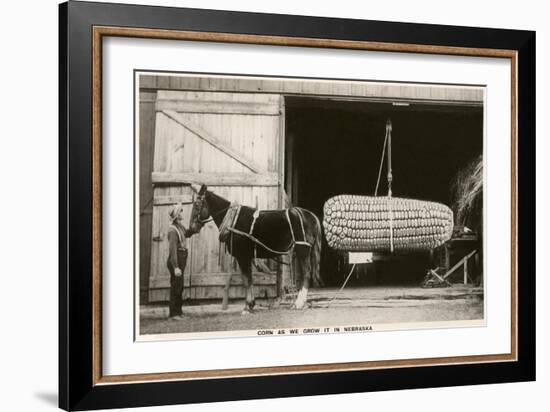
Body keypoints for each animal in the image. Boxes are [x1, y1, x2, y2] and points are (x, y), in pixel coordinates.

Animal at [189, 183, 324, 312]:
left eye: (197, 205)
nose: (190, 229)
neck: (233, 221)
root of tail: (311, 215)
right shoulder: (246, 257)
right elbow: (248, 279)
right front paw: (251, 304)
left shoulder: (242, 256)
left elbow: (247, 280)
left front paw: (248, 306)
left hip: (303, 250)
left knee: (307, 273)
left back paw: (299, 303)